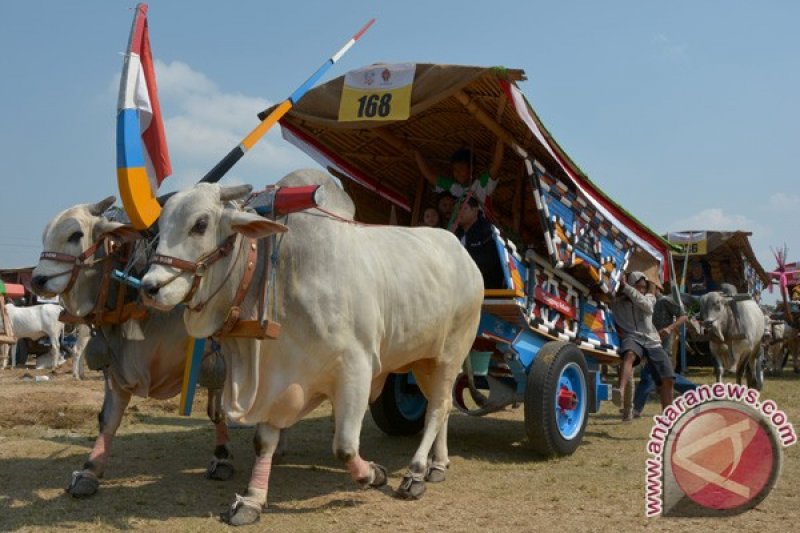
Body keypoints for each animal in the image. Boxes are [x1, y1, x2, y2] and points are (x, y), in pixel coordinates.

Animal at [32, 196, 238, 498]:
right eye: (44, 236)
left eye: (75, 235)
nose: (36, 280)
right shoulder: (116, 364)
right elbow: (108, 417)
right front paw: (90, 470)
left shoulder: (218, 351)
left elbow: (218, 409)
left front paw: (222, 457)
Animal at [141, 169, 484, 524]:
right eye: (161, 224)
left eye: (200, 224)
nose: (149, 287)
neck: (279, 275)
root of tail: (463, 255)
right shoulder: (278, 376)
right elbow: (263, 441)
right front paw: (251, 500)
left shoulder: (356, 368)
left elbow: (344, 445)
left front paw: (373, 474)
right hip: (423, 360)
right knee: (442, 406)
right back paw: (438, 464)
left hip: (450, 354)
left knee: (438, 408)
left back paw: (415, 472)